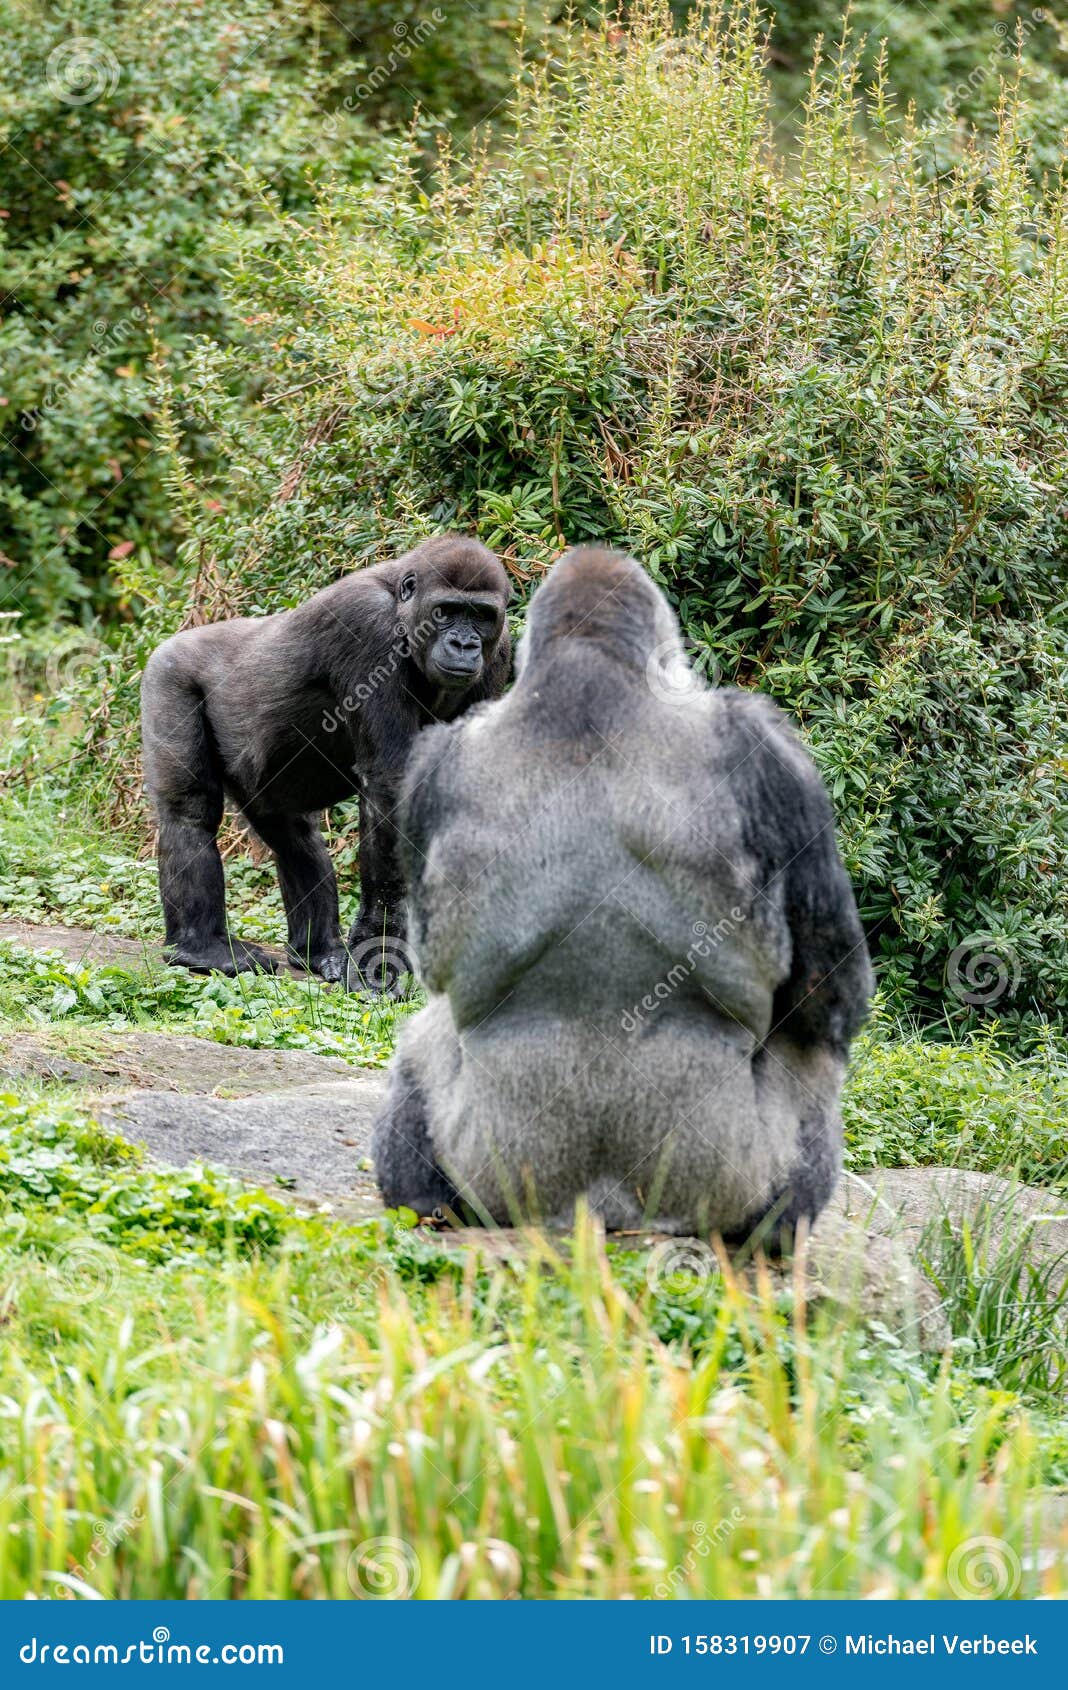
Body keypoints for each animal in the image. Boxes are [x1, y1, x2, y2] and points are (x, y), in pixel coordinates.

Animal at [139, 537, 510, 986]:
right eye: (446, 611)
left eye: (481, 616)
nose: (464, 645)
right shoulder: (369, 627)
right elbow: (389, 784)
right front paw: (380, 948)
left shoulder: (499, 651)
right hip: (168, 673)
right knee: (189, 810)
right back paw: (202, 947)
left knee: (295, 837)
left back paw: (317, 952)